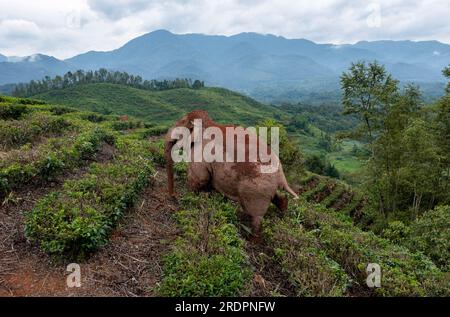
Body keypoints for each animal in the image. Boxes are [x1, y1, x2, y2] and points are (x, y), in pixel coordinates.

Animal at [166, 110, 298, 236]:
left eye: (180, 123)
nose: (174, 197)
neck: (207, 122)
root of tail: (281, 175)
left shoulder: (201, 155)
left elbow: (199, 179)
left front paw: (190, 200)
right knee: (278, 198)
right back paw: (283, 212)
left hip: (256, 189)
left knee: (255, 216)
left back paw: (251, 236)